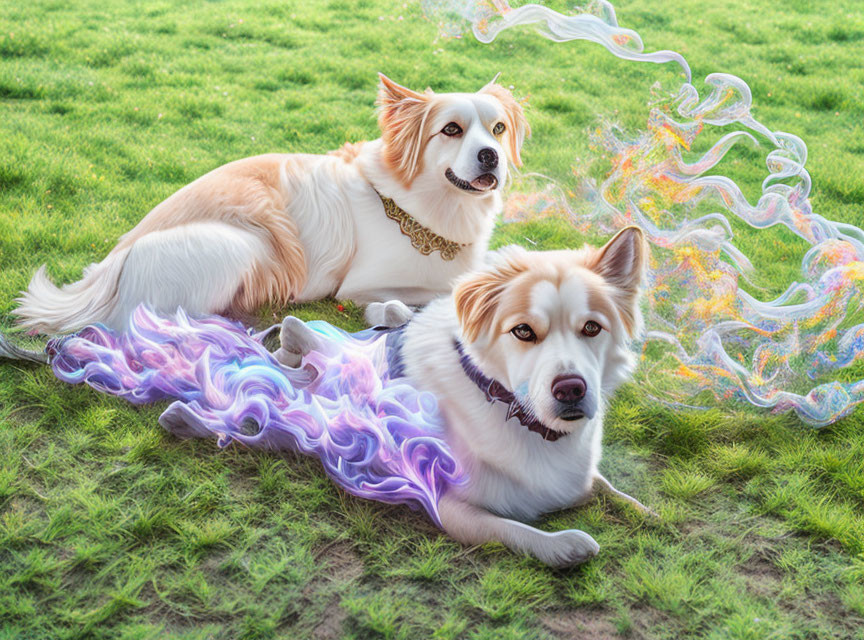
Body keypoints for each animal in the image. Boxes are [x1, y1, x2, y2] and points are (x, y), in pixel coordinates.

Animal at [15, 74, 528, 336]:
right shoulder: (364, 285)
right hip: (241, 246)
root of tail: (113, 263)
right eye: (451, 130)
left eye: (498, 129)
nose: (492, 156)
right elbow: (440, 291)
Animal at [278, 226, 656, 564]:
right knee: (296, 330)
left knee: (388, 313)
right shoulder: (449, 507)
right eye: (523, 331)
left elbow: (605, 486)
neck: (521, 418)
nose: (571, 389)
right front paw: (564, 545)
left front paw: (645, 510)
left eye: (592, 328)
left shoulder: (577, 478)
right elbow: (511, 529)